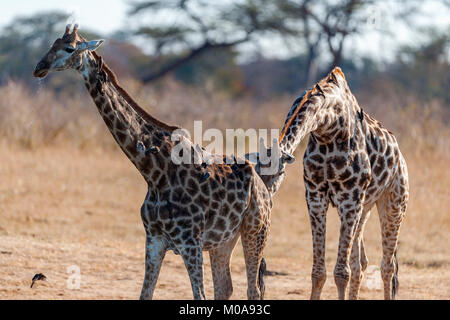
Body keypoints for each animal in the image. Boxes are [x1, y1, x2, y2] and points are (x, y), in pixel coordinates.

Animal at [33, 24, 272, 300]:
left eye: (70, 48)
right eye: (52, 44)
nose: (39, 67)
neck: (154, 172)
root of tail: (263, 186)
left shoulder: (190, 242)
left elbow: (198, 295)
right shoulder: (154, 238)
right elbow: (145, 294)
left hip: (255, 229)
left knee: (253, 289)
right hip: (224, 240)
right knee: (225, 287)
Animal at [280, 67, 410, 300]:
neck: (327, 131)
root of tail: (400, 157)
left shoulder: (349, 200)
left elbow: (341, 273)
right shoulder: (315, 196)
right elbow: (319, 272)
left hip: (394, 203)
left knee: (387, 266)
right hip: (364, 208)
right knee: (361, 263)